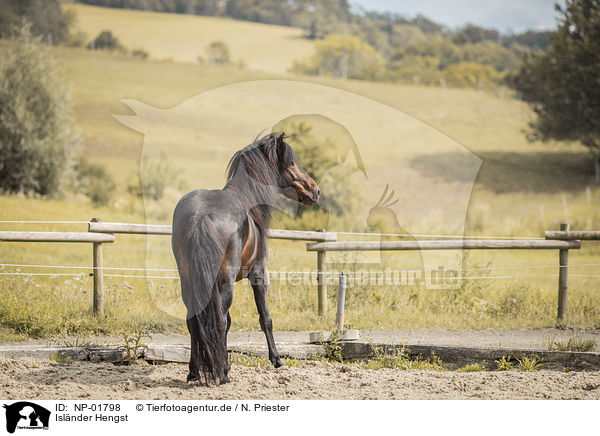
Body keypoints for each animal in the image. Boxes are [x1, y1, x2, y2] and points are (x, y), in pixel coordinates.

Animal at [171, 131, 322, 384]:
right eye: (291, 162)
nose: (315, 190)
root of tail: (201, 214)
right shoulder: (259, 273)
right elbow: (265, 318)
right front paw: (276, 360)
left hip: (189, 280)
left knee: (194, 320)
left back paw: (194, 371)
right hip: (225, 282)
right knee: (219, 320)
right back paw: (222, 373)